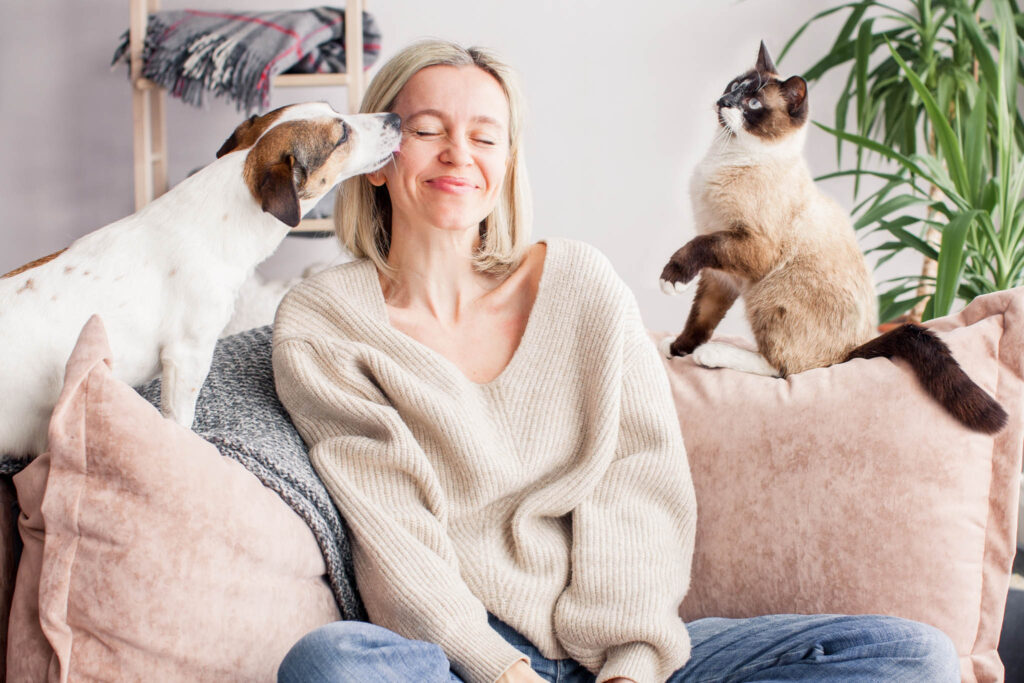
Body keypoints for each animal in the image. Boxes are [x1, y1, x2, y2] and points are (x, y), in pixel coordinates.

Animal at [655, 41, 1007, 432]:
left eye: (753, 103)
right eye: (734, 86)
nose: (723, 101)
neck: (727, 156)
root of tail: (851, 353)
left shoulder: (746, 246)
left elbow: (696, 249)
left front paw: (672, 280)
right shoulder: (722, 275)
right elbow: (700, 318)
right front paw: (677, 349)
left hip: (768, 291)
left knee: (786, 369)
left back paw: (713, 355)